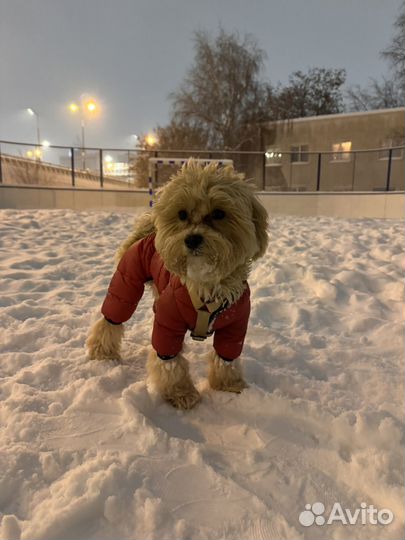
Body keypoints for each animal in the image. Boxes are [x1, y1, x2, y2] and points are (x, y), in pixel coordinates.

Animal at [86, 160, 268, 410]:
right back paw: (102, 351)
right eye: (182, 214)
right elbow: (170, 362)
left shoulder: (235, 326)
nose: (192, 239)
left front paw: (228, 384)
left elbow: (226, 357)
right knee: (111, 318)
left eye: (219, 213)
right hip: (125, 286)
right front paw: (181, 393)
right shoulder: (168, 322)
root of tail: (148, 231)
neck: (205, 285)